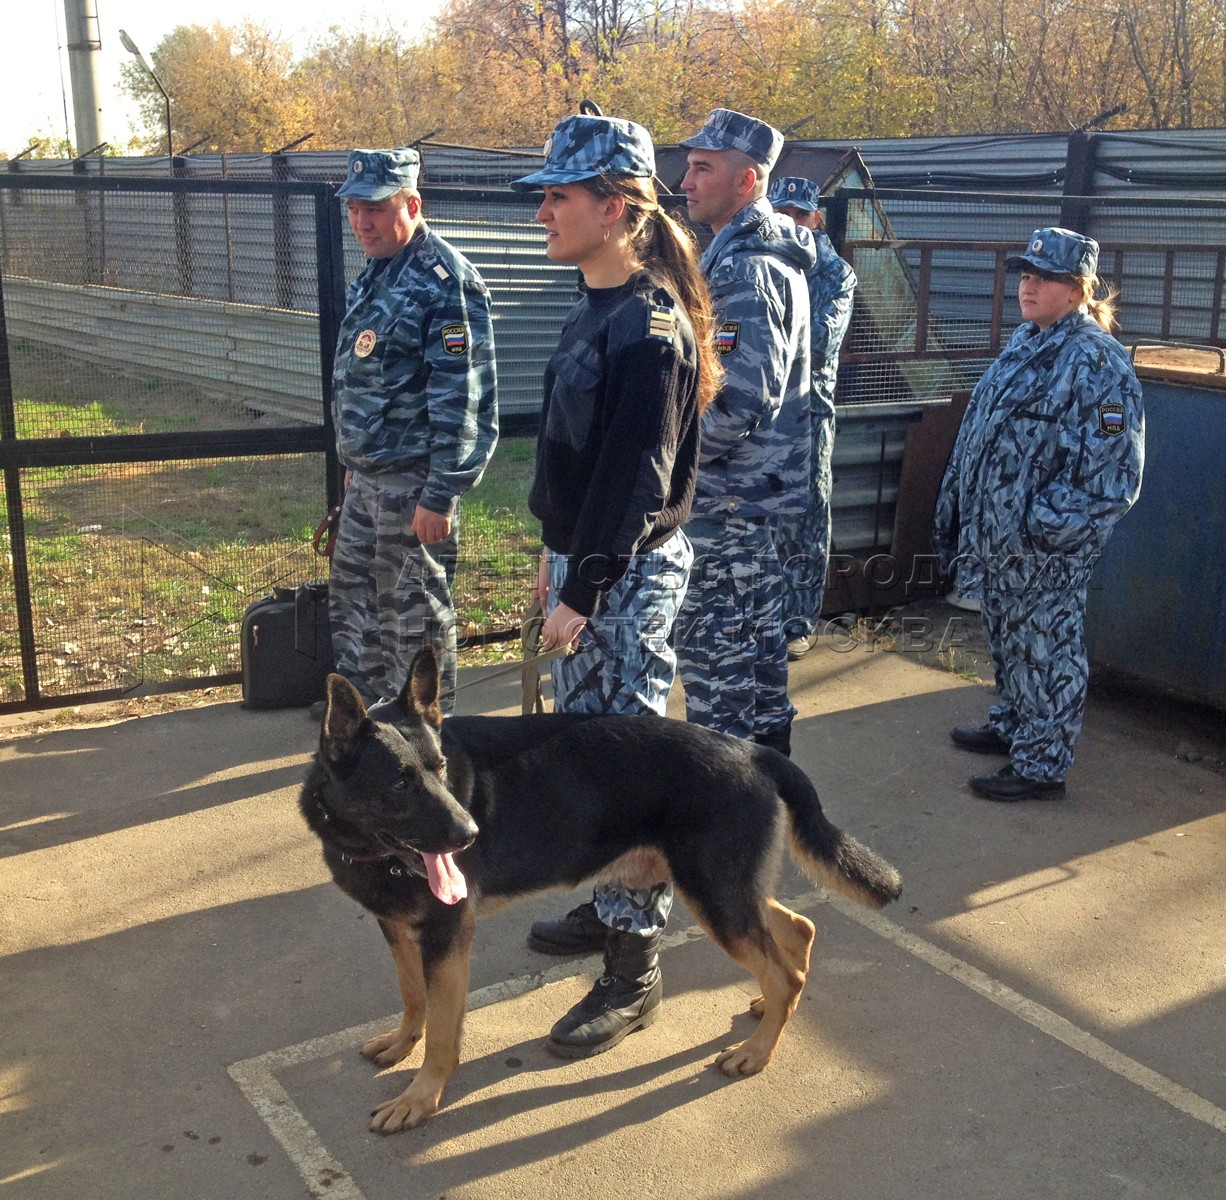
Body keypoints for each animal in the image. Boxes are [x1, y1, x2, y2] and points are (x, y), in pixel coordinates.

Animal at [301, 652, 902, 1132]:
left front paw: (421, 1098)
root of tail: (751, 750)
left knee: (784, 971)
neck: (365, 843)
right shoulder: (400, 930)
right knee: (797, 931)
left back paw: (756, 1053)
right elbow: (413, 999)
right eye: (401, 781)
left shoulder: (447, 937)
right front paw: (400, 1045)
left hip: (715, 899)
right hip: (726, 893)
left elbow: (443, 1034)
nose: (470, 833)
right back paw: (769, 1009)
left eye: (441, 768)